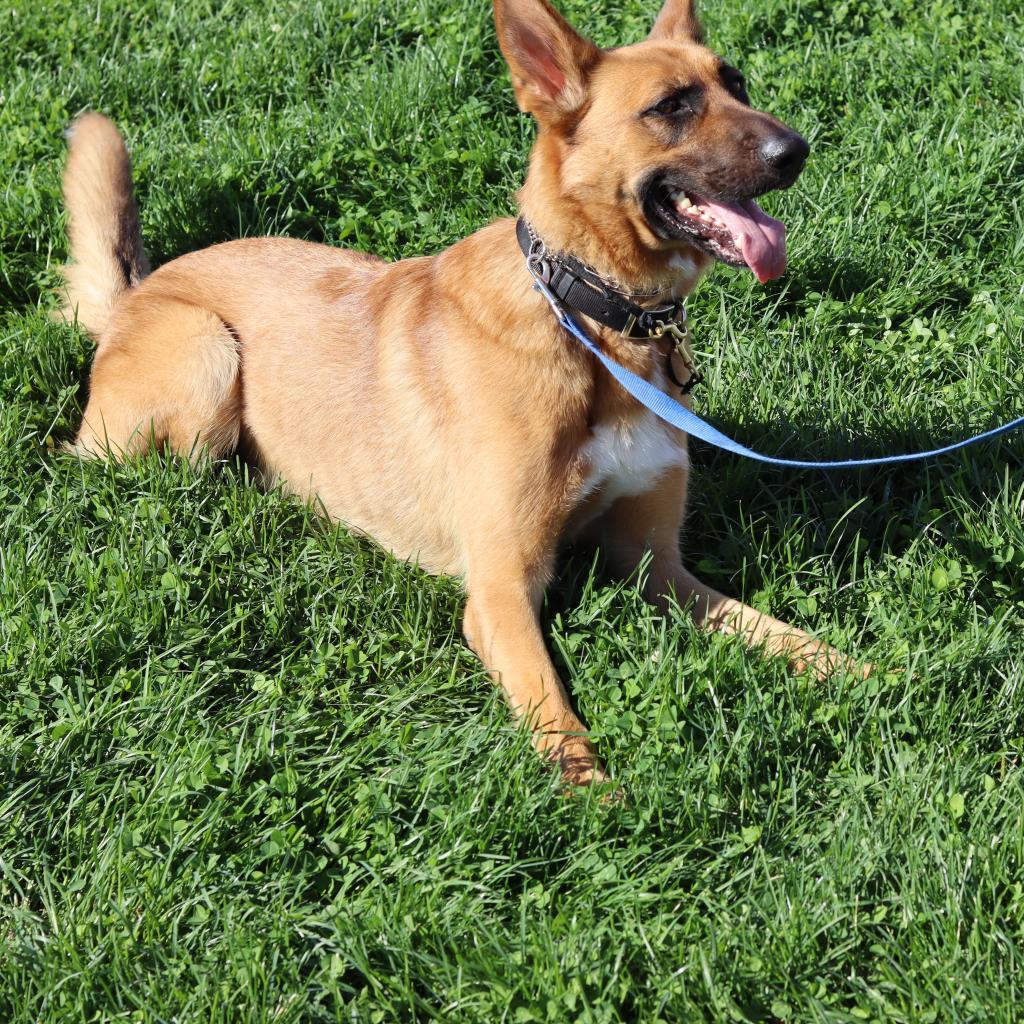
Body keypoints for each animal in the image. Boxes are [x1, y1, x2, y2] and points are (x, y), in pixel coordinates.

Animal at [51, 0, 860, 786]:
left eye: (738, 83)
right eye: (671, 106)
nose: (797, 150)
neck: (591, 324)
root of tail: (132, 296)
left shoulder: (656, 565)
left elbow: (774, 631)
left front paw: (860, 671)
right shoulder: (503, 591)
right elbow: (554, 710)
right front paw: (596, 792)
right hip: (206, 361)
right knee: (105, 461)